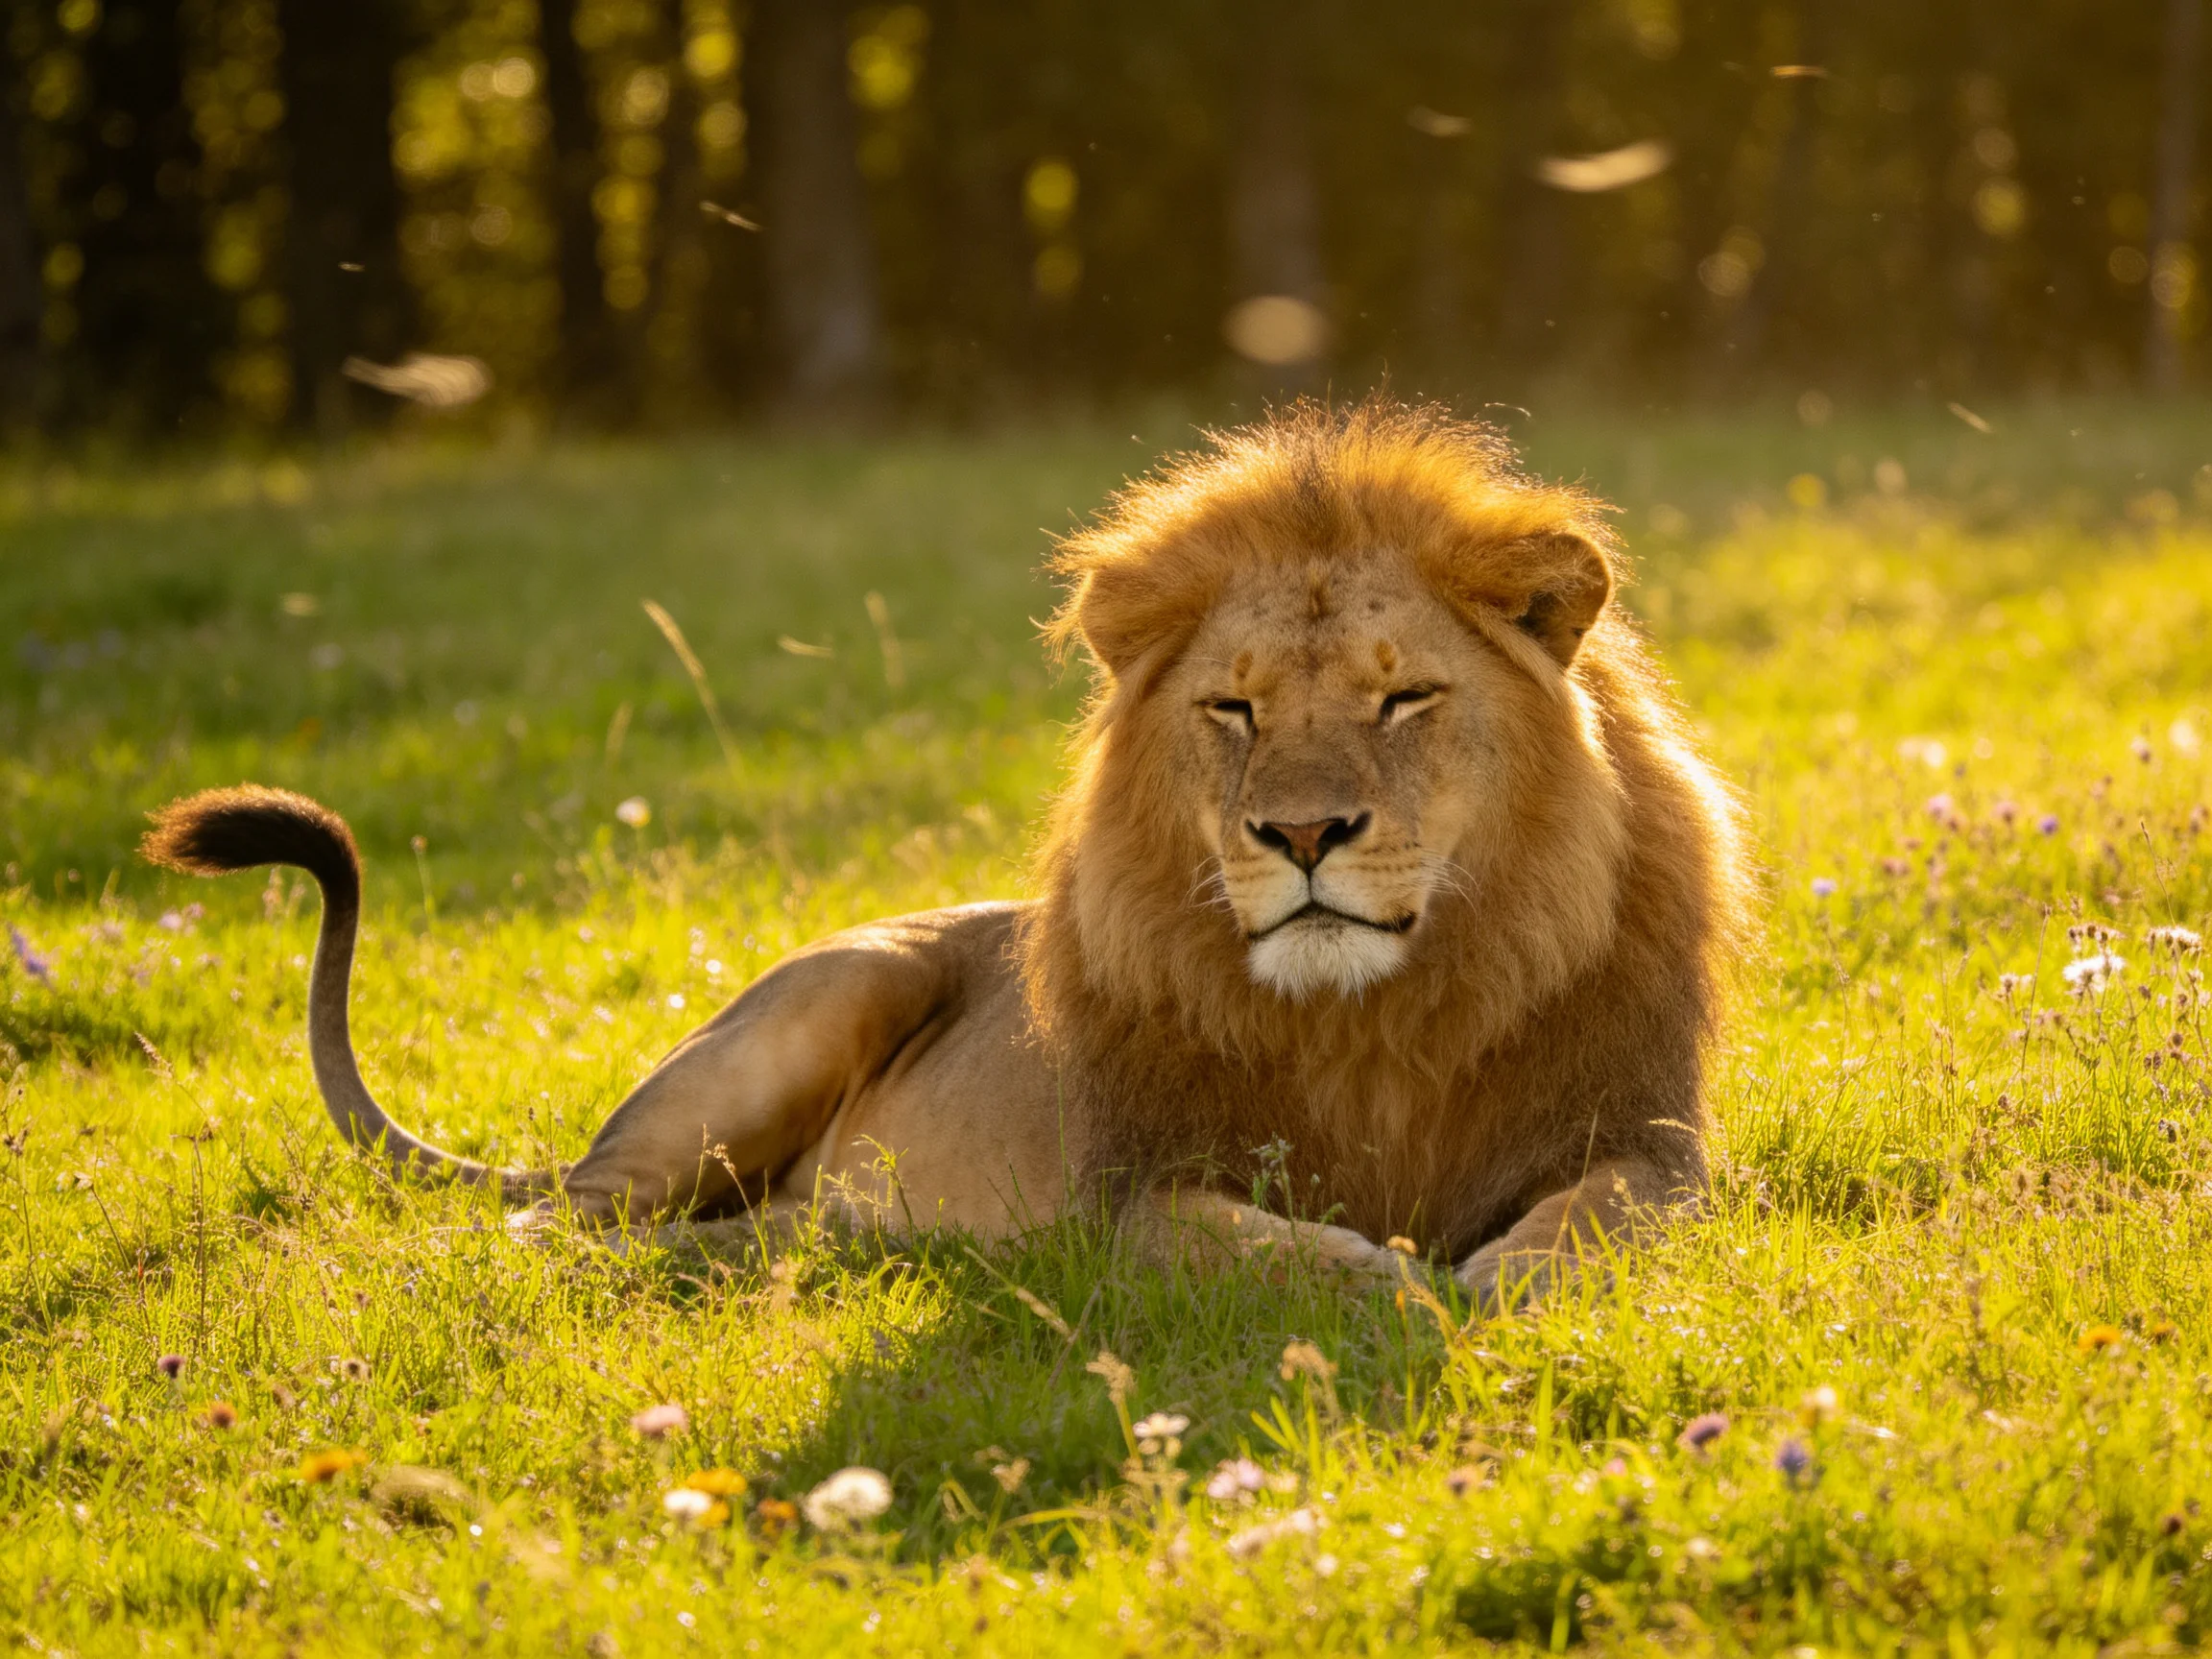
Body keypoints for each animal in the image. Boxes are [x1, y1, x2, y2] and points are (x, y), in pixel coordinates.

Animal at [142, 399, 1749, 1303]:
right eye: (1231, 709)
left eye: (1404, 697)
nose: (1301, 833)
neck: (1378, 1018)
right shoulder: (1120, 1196)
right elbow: (1235, 1241)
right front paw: (1381, 1277)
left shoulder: (1651, 1139)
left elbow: (1605, 1217)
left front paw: (1511, 1275)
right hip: (800, 1023)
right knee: (558, 1226)